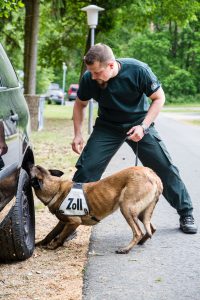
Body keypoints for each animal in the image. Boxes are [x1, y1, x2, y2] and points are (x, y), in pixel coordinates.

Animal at [30, 165, 163, 254]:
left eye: (31, 168)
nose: (30, 163)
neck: (57, 188)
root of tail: (153, 174)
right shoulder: (62, 222)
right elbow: (51, 234)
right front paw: (40, 243)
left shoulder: (74, 222)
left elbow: (61, 236)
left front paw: (53, 246)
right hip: (140, 213)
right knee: (151, 229)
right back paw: (141, 242)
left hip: (126, 208)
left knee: (138, 232)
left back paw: (126, 249)